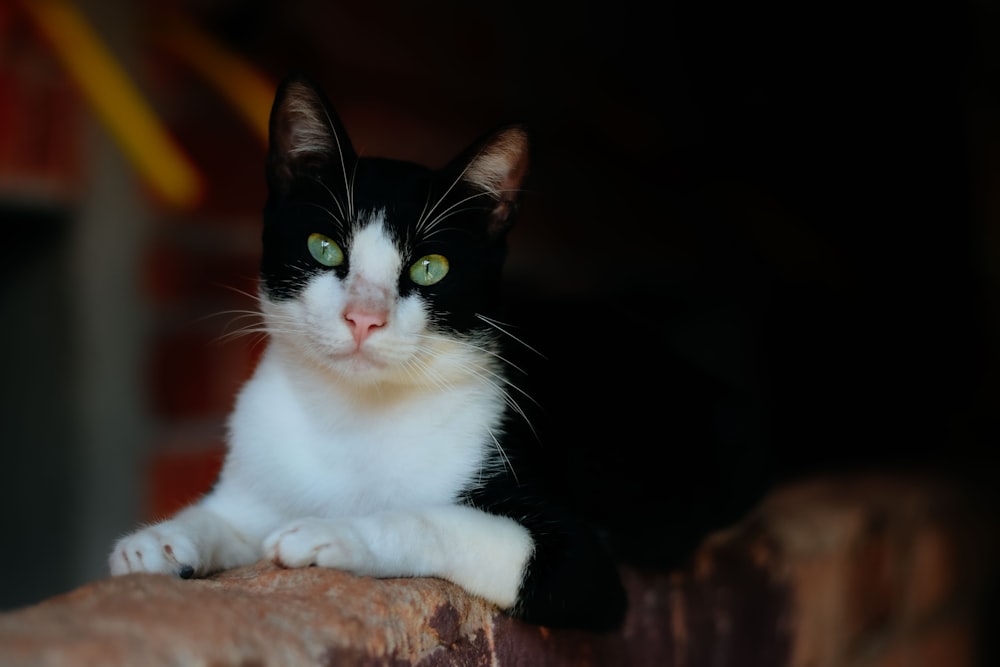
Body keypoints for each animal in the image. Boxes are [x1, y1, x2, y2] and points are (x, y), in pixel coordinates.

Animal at [109, 73, 624, 632]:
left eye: (430, 267)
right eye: (324, 246)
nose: (363, 317)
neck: (353, 418)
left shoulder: (582, 563)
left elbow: (436, 521)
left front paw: (336, 532)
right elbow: (222, 518)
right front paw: (159, 540)